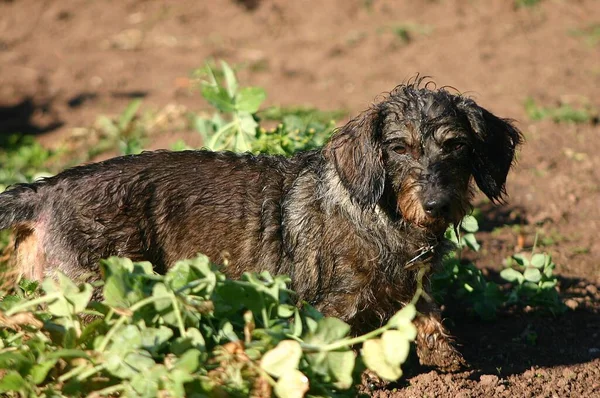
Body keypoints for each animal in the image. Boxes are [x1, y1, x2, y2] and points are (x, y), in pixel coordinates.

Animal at [0, 80, 520, 370]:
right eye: (399, 148)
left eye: (455, 145)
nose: (437, 204)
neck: (382, 217)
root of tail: (45, 190)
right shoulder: (333, 304)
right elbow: (342, 347)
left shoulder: (412, 285)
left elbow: (427, 314)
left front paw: (451, 361)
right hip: (95, 300)